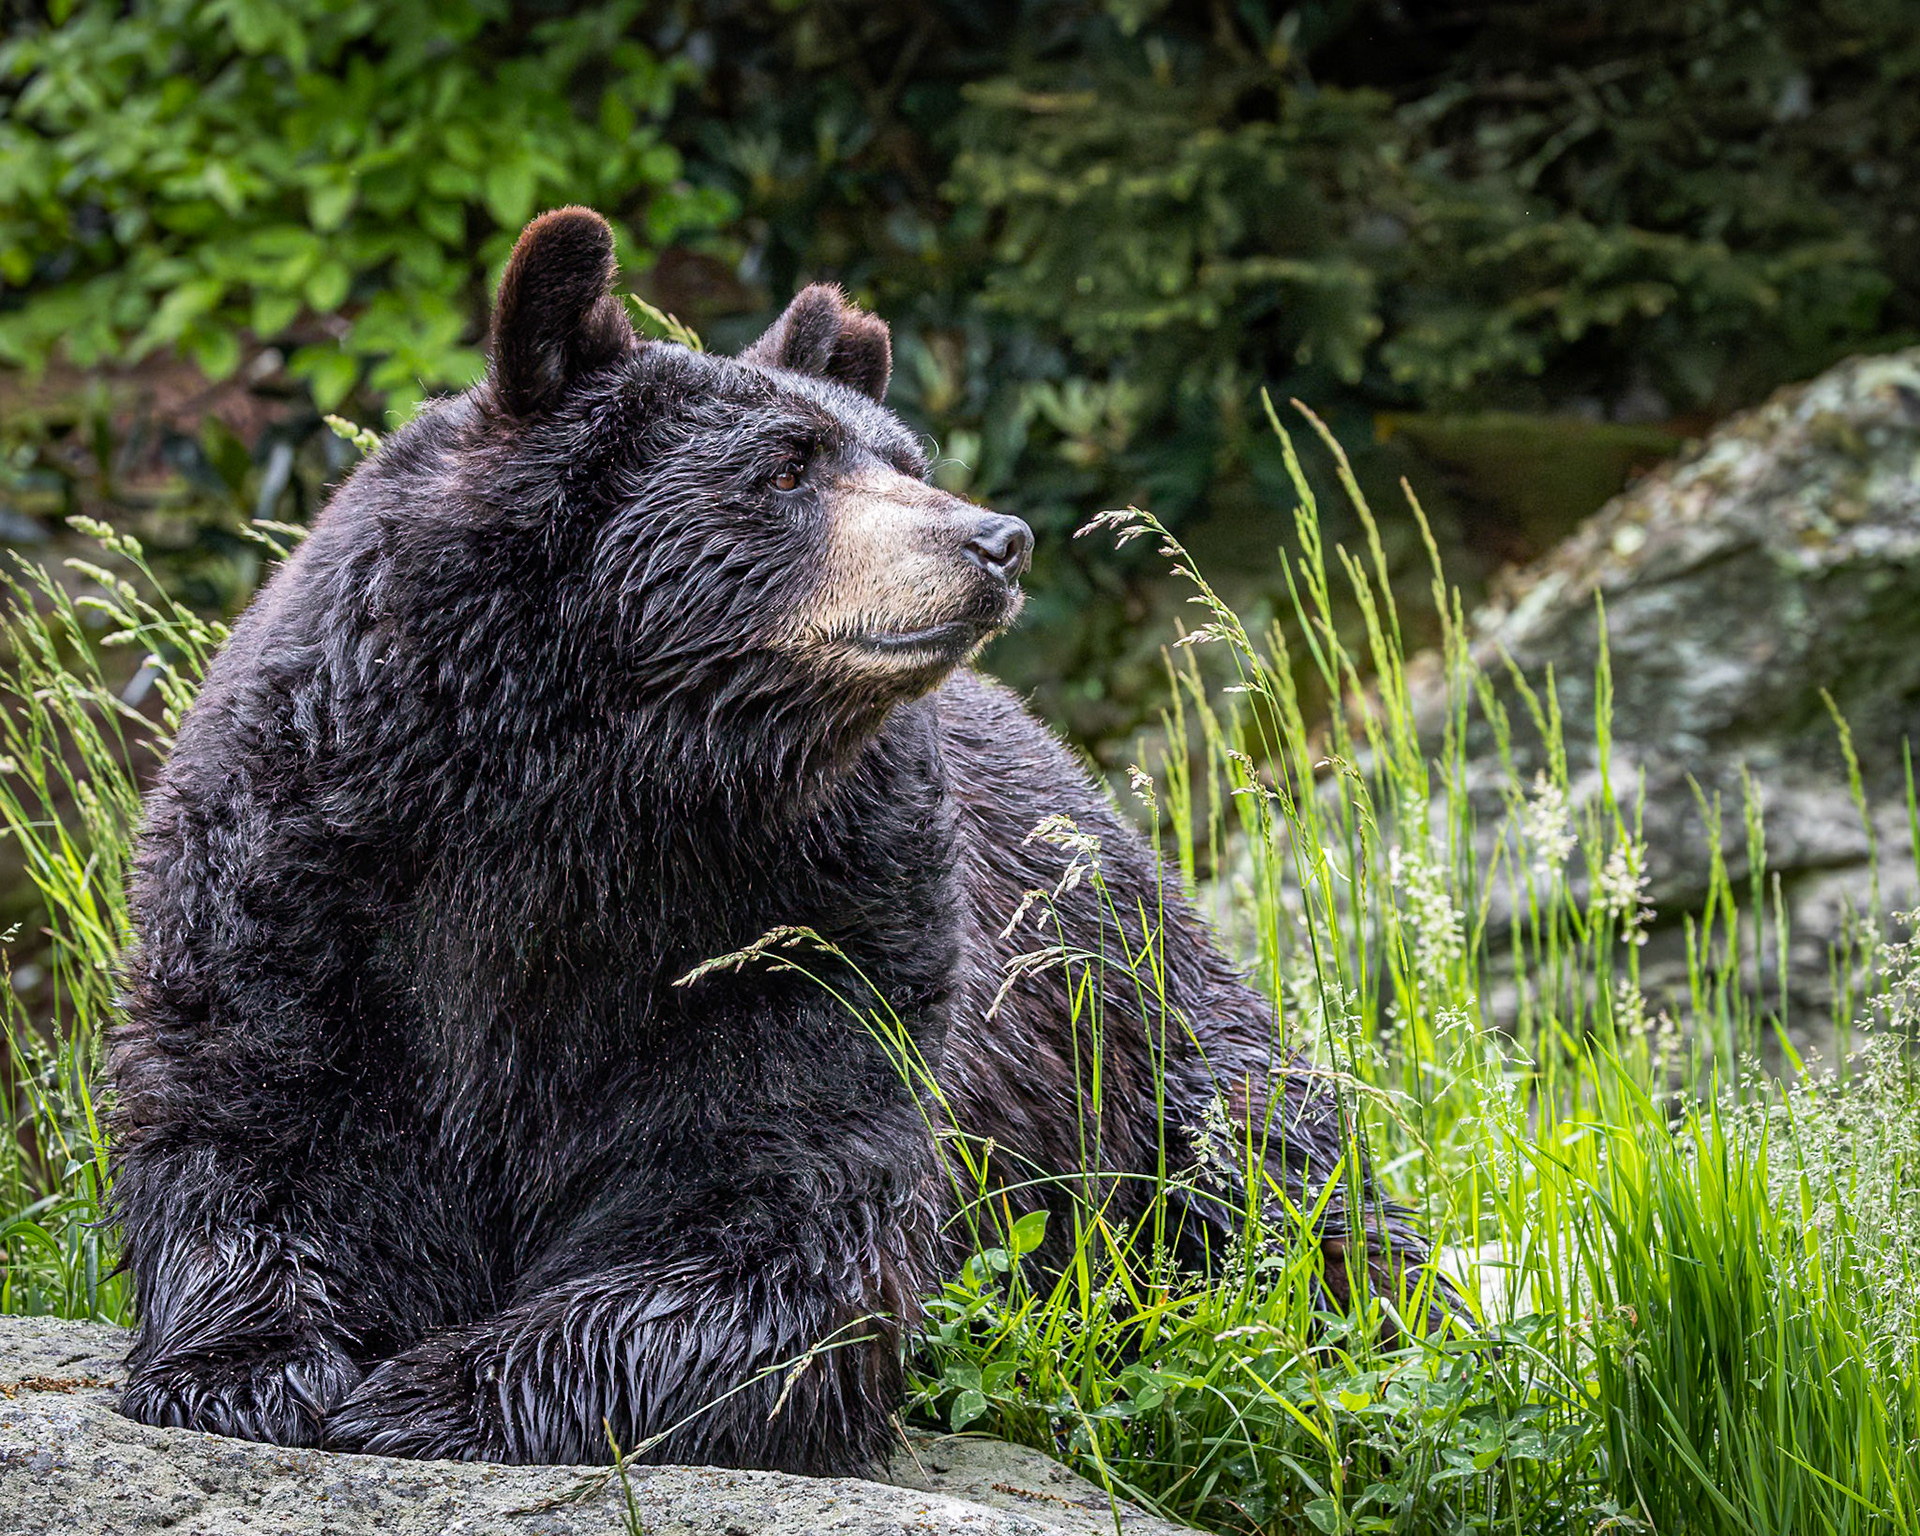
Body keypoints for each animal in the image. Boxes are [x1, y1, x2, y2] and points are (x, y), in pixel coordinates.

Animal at [109, 207, 1431, 1475]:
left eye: (906, 460)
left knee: (1260, 1161)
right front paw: (249, 1365)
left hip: (1118, 1004)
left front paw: (434, 1390)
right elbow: (259, 1127)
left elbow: (771, 1213)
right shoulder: (307, 873)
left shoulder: (812, 914)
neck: (606, 786)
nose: (996, 541)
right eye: (789, 463)